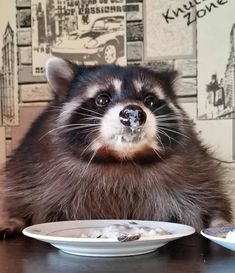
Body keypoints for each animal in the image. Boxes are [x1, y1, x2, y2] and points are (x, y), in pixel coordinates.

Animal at [0, 56, 231, 236]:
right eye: (103, 99)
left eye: (150, 100)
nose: (134, 113)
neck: (121, 158)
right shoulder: (31, 162)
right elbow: (21, 192)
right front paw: (14, 218)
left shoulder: (196, 163)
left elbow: (210, 195)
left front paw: (220, 221)